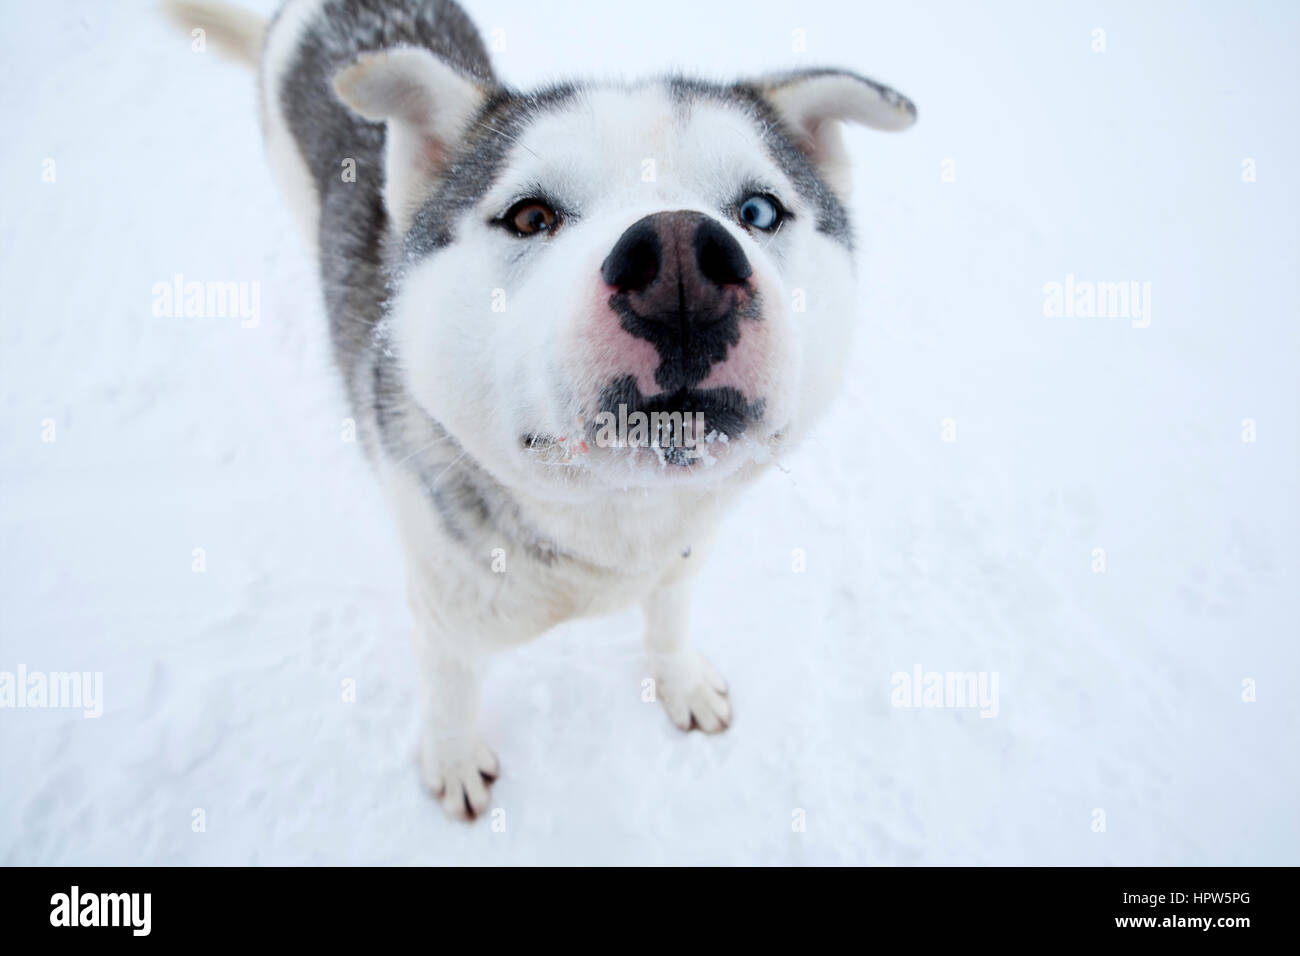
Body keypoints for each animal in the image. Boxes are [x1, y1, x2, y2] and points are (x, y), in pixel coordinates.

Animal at [167, 0, 920, 822]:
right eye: (530, 217)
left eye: (758, 210)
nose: (681, 264)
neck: (615, 526)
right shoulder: (443, 616)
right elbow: (450, 696)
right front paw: (453, 760)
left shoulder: (680, 562)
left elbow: (669, 617)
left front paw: (680, 680)